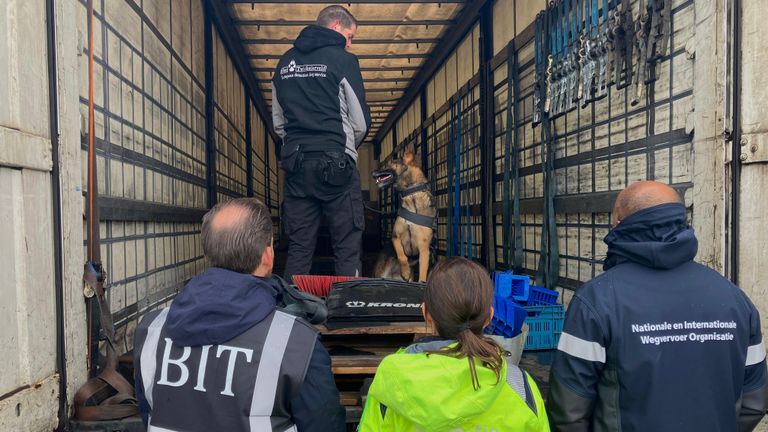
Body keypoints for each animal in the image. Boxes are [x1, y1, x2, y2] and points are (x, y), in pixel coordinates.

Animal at [374, 143, 436, 282]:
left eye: (391, 163)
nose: (373, 172)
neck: (411, 195)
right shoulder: (395, 237)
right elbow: (402, 255)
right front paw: (406, 271)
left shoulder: (424, 250)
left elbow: (422, 273)